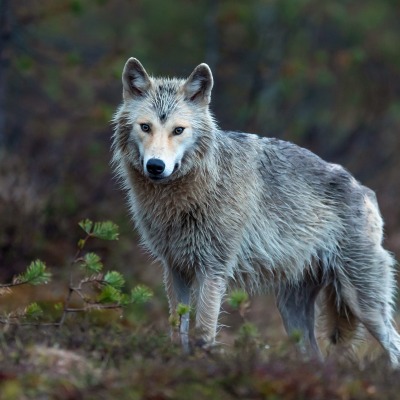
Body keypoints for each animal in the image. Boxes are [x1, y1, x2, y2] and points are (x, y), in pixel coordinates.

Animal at [111, 57, 400, 366]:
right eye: (145, 127)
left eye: (178, 130)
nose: (155, 166)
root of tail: (366, 191)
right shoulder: (175, 268)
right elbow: (178, 330)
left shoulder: (213, 270)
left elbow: (204, 332)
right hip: (291, 310)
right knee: (315, 356)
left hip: (363, 302)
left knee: (393, 344)